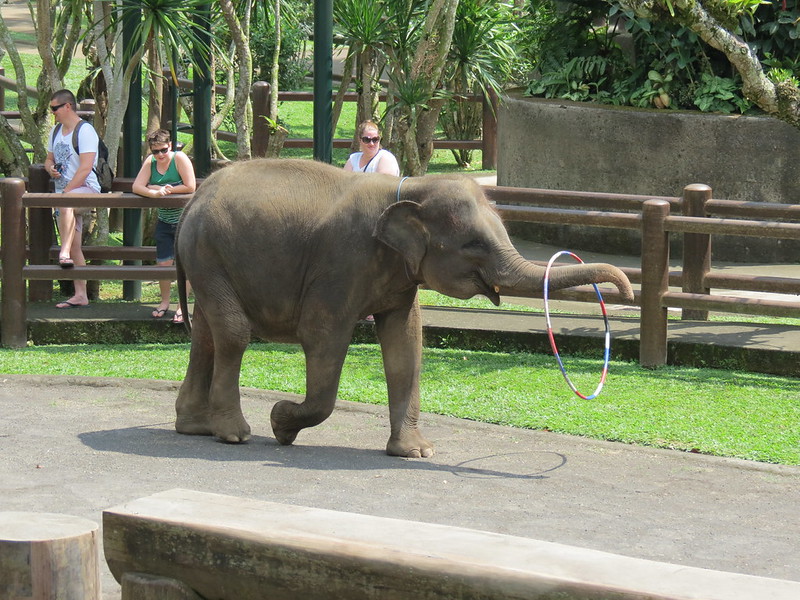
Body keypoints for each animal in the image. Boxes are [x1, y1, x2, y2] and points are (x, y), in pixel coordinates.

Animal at [173, 158, 633, 458]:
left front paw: (417, 453)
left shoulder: (400, 277)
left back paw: (195, 427)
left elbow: (405, 344)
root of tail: (194, 197)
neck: (409, 189)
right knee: (233, 333)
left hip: (208, 261)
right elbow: (322, 335)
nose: (627, 293)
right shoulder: (341, 263)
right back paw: (235, 435)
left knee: (208, 334)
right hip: (209, 253)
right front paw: (281, 424)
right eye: (474, 244)